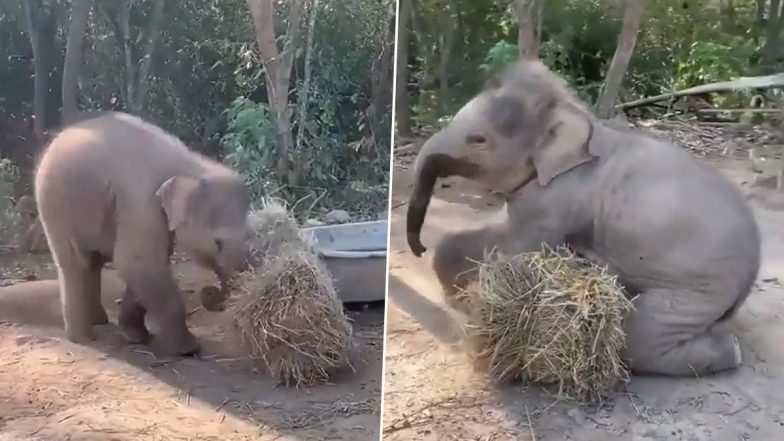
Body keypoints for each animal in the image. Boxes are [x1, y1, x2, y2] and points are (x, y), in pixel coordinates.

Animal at [35, 111, 250, 356]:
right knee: (75, 263)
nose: (212, 292)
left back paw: (99, 321)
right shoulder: (141, 202)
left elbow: (148, 264)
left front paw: (135, 336)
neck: (190, 164)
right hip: (56, 204)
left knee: (92, 263)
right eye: (217, 242)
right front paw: (188, 350)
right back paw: (83, 338)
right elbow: (138, 263)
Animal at [408, 60, 764, 376]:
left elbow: (519, 246)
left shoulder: (560, 195)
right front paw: (456, 297)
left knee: (640, 338)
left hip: (701, 289)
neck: (575, 113)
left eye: (478, 140)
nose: (419, 248)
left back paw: (730, 352)